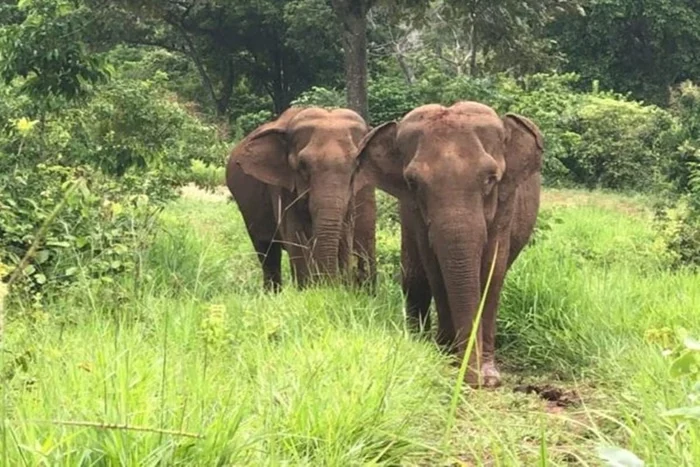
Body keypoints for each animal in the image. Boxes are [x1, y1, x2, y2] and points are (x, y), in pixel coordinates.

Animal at [226, 106, 377, 291]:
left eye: (356, 166)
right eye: (303, 165)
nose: (331, 285)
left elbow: (346, 232)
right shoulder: (282, 185)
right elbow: (296, 238)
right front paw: (310, 291)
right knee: (267, 251)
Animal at [355, 101, 543, 388]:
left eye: (490, 179)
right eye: (413, 183)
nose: (472, 380)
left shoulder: (505, 203)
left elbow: (492, 271)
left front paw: (489, 376)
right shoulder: (415, 213)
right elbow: (435, 270)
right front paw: (446, 358)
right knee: (415, 279)